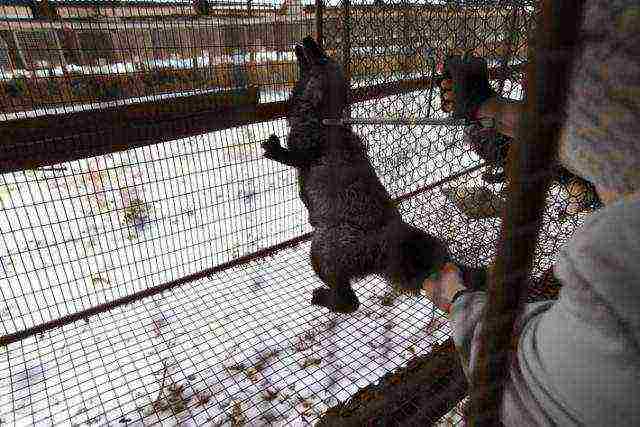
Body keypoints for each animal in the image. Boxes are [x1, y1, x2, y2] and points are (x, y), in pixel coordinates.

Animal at [260, 36, 470, 314]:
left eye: (323, 57)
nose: (307, 39)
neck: (319, 113)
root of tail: (387, 247)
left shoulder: (306, 153)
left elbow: (291, 156)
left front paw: (274, 149)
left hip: (321, 250)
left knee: (350, 302)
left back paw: (324, 298)